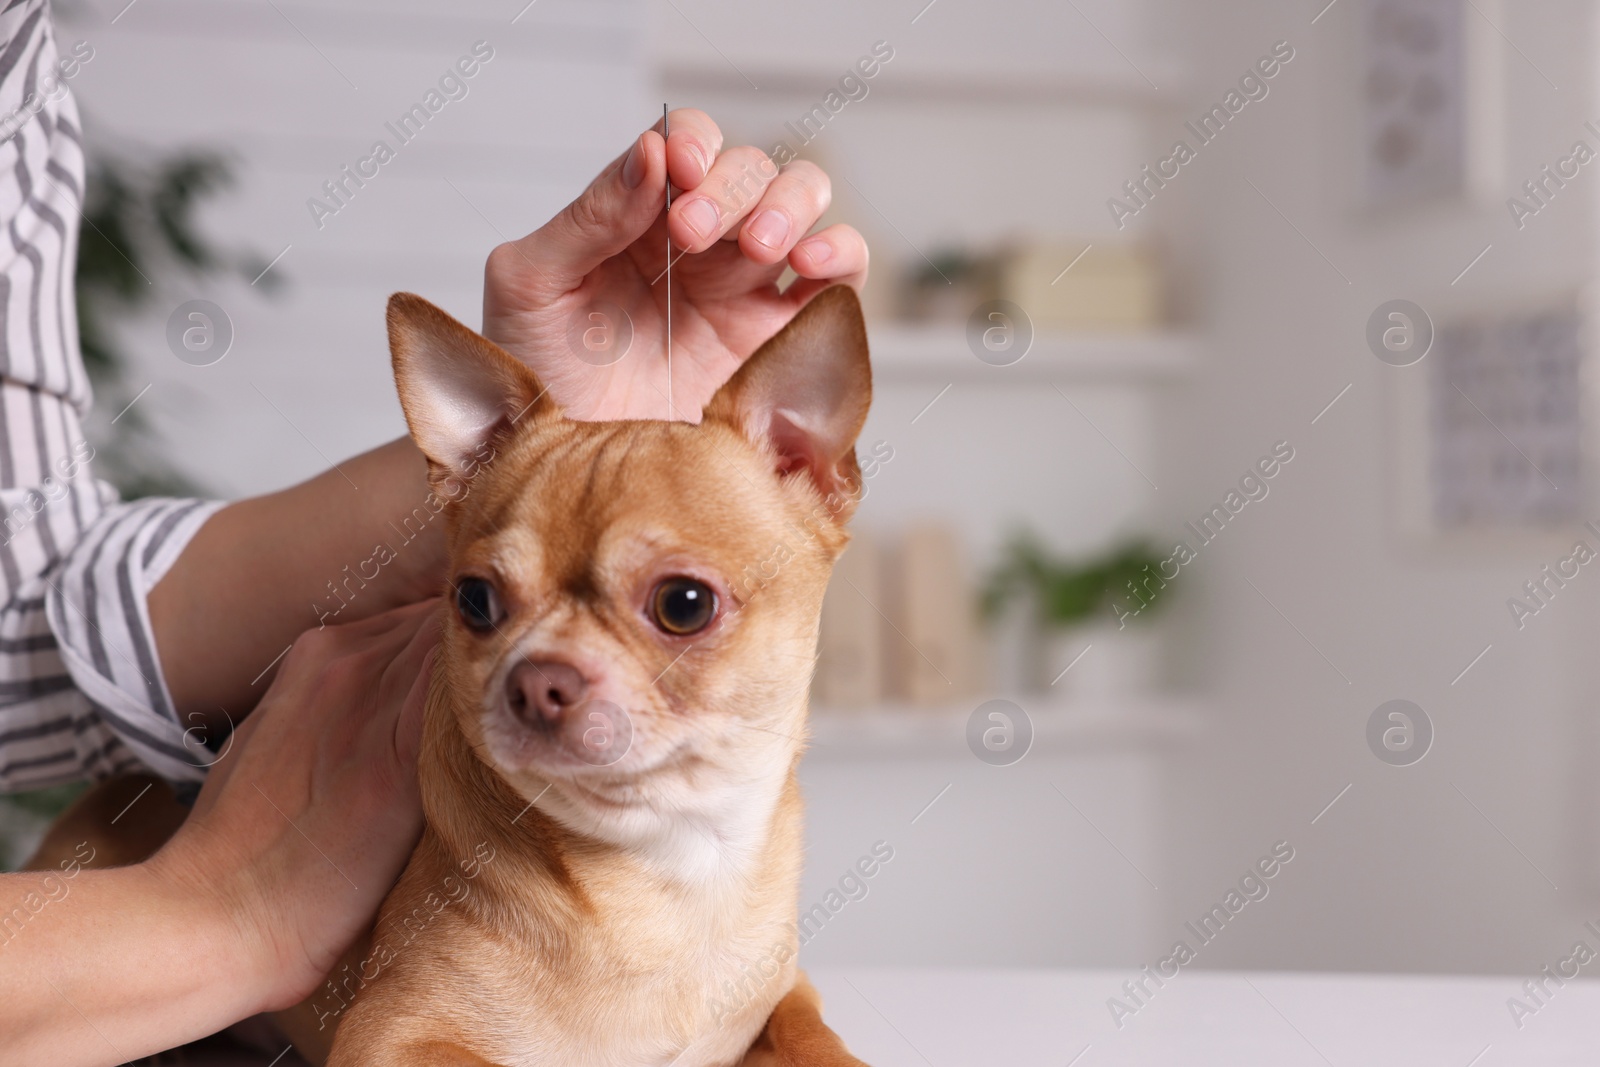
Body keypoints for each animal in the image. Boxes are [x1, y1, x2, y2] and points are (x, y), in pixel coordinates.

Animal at [313, 287, 876, 1062]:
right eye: (474, 601)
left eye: (684, 604)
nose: (536, 680)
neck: (669, 865)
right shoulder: (387, 1035)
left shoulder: (788, 993)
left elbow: (813, 1037)